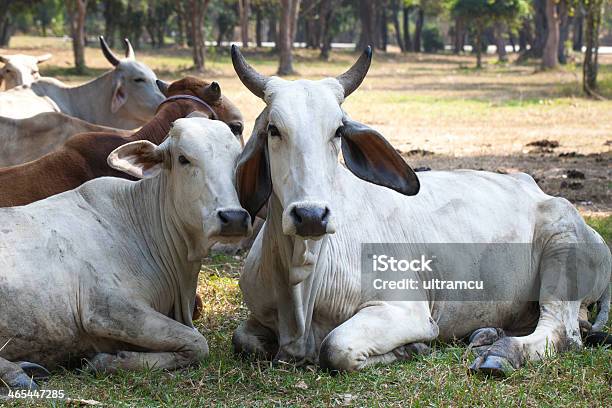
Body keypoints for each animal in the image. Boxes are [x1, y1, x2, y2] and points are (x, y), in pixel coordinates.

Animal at [0, 117, 251, 388]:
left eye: (236, 159)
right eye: (183, 158)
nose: (234, 218)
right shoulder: (107, 310)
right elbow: (198, 343)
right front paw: (107, 361)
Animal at [227, 45, 608, 376]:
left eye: (337, 131)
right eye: (273, 129)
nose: (310, 216)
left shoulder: (405, 310)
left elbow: (336, 348)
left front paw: (413, 348)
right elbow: (242, 338)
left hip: (562, 248)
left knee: (562, 332)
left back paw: (500, 353)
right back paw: (487, 335)